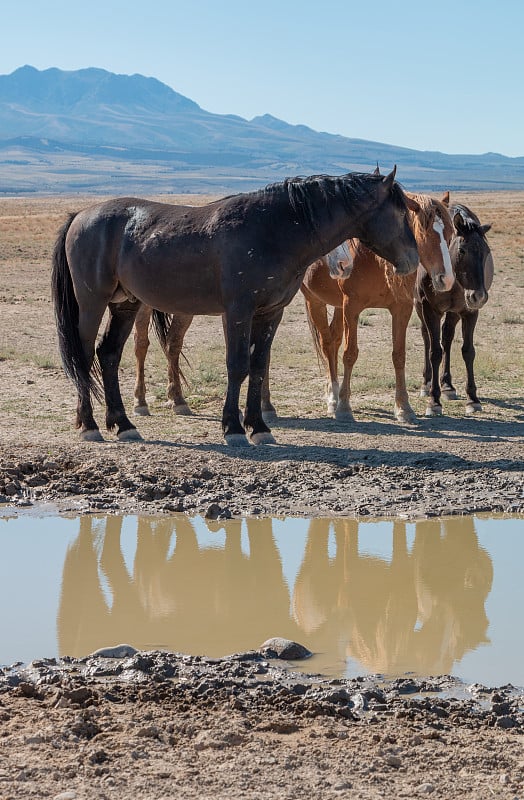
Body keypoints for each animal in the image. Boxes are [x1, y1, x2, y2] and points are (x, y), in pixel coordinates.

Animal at [416, 197, 494, 416]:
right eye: (462, 250)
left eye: (486, 252)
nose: (479, 296)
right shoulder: (429, 309)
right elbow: (434, 352)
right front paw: (434, 401)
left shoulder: (469, 311)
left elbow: (468, 351)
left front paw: (473, 399)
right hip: (420, 307)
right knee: (427, 338)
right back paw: (426, 384)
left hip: (454, 313)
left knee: (447, 338)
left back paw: (448, 386)